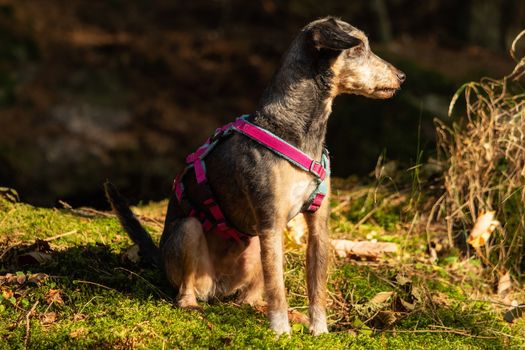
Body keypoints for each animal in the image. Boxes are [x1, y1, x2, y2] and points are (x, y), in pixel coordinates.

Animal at [104, 17, 404, 336]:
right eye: (359, 47)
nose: (402, 76)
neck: (300, 132)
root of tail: (218, 289)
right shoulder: (271, 223)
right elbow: (278, 289)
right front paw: (281, 333)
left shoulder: (318, 228)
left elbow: (316, 288)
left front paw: (319, 331)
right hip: (190, 232)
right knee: (188, 287)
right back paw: (191, 305)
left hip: (255, 248)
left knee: (249, 299)